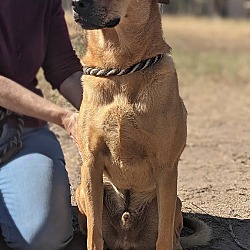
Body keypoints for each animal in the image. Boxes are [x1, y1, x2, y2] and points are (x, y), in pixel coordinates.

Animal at [73, 0, 211, 250]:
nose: (76, 4)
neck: (121, 71)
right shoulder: (91, 163)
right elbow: (94, 235)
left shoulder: (166, 168)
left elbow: (163, 237)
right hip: (83, 190)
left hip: (172, 201)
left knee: (172, 235)